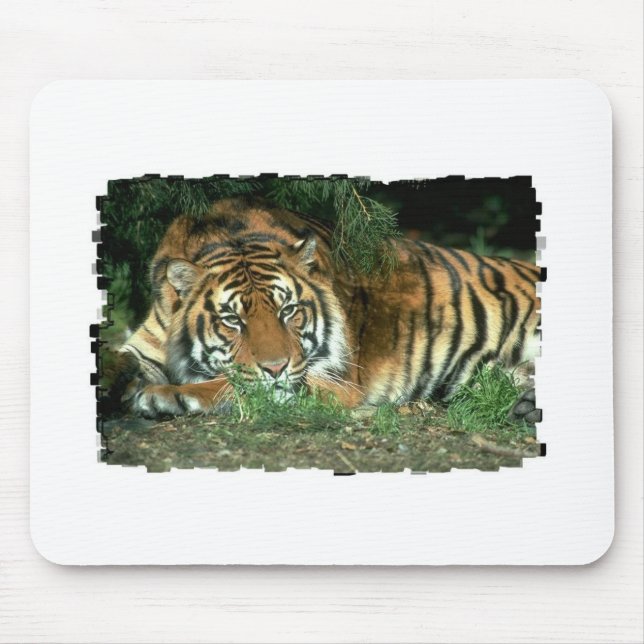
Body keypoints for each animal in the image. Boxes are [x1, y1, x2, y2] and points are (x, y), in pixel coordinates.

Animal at [107, 196, 541, 423]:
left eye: (288, 311)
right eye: (232, 320)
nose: (276, 367)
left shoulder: (332, 380)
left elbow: (234, 384)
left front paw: (162, 396)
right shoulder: (144, 345)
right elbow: (116, 360)